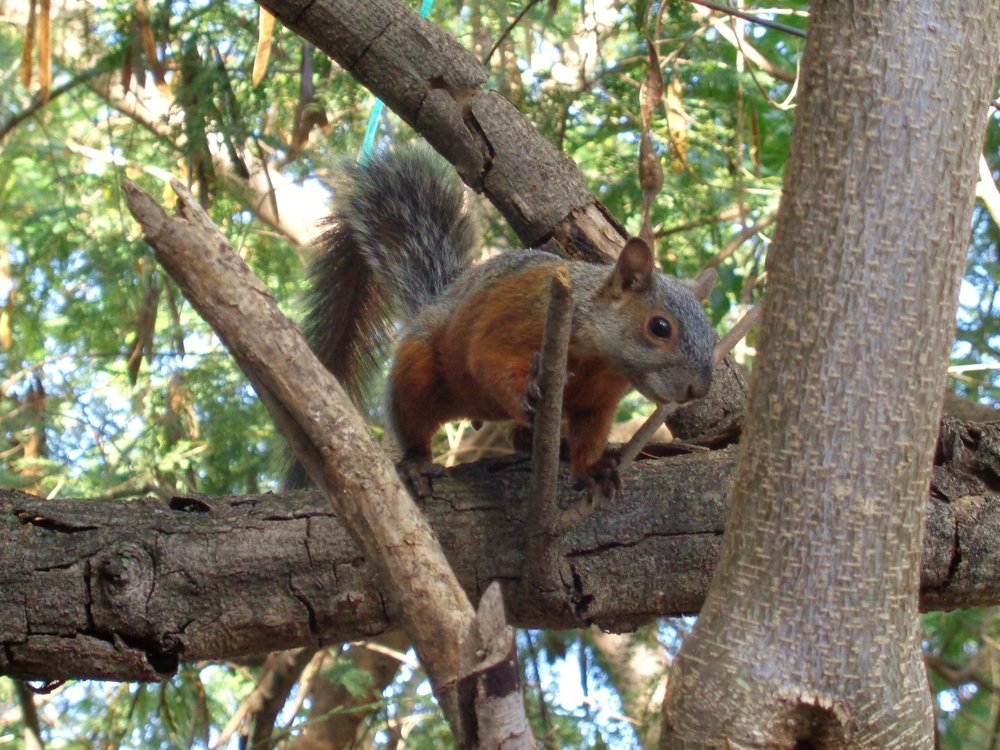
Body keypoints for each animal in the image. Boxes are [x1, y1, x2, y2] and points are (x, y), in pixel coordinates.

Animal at [295, 145, 715, 492]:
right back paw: (416, 463)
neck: (598, 357)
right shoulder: (520, 314)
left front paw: (592, 469)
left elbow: (590, 436)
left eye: (710, 334)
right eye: (660, 327)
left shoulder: (597, 403)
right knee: (415, 422)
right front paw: (526, 390)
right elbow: (488, 359)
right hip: (417, 371)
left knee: (520, 439)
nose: (698, 390)